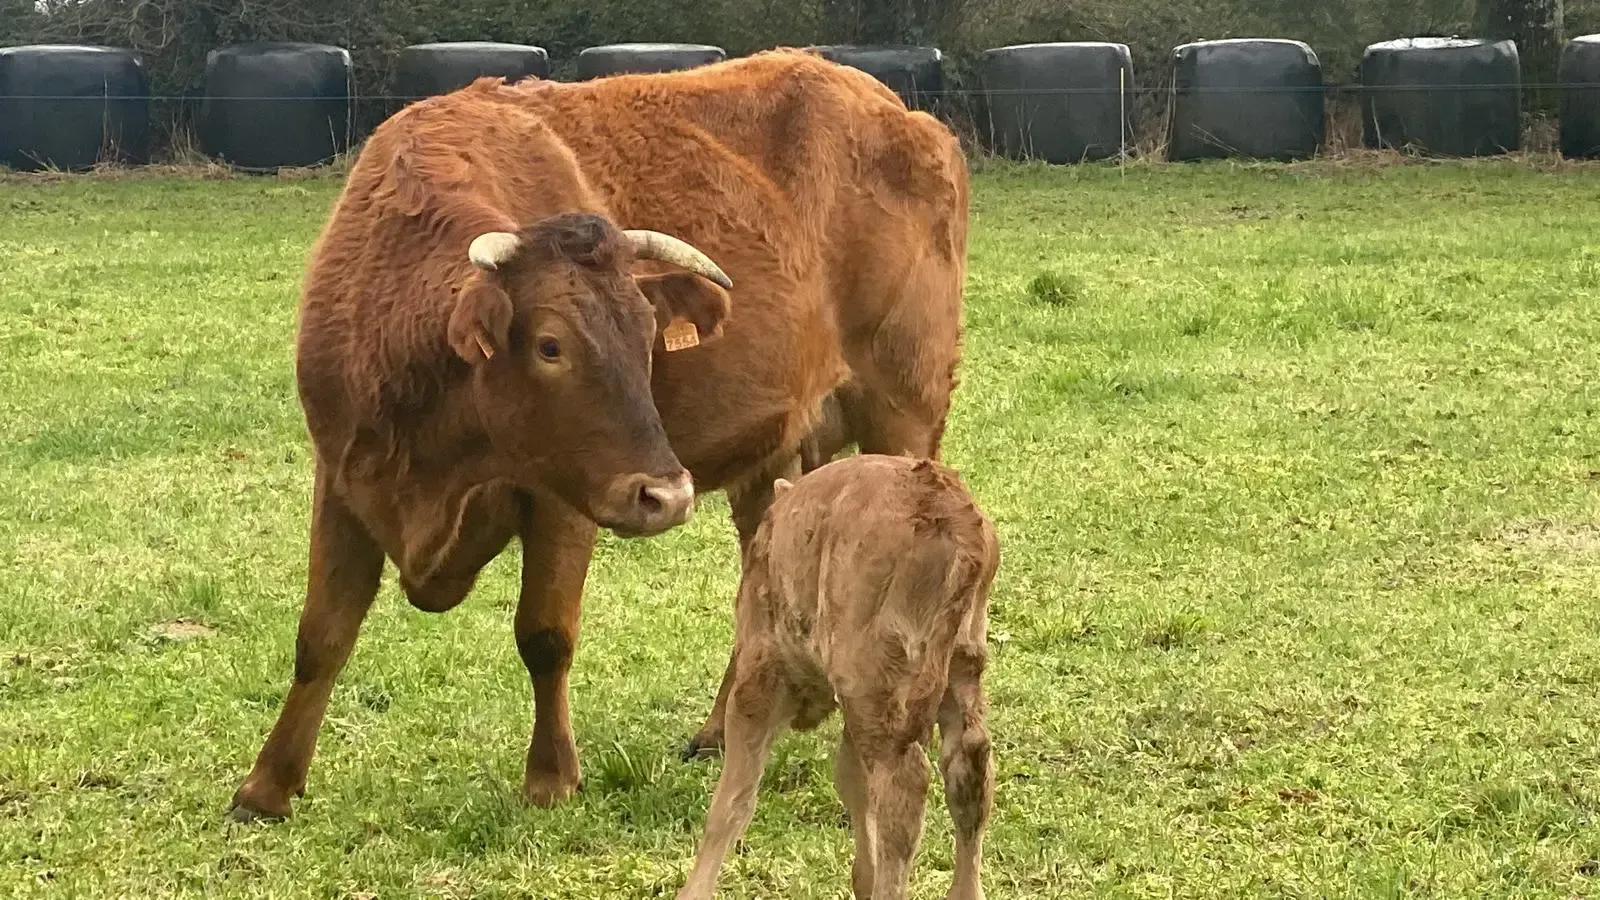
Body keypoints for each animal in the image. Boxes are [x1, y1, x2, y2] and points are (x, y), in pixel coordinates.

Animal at [227, 47, 969, 822]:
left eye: (648, 334)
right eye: (550, 345)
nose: (667, 495)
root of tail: (906, 117)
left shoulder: (563, 497)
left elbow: (544, 634)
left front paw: (550, 776)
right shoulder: (344, 474)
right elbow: (322, 633)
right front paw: (266, 786)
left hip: (902, 418)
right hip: (772, 464)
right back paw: (724, 728)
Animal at [675, 455, 1000, 900]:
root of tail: (950, 513)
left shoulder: (758, 679)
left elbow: (732, 800)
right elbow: (851, 779)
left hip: (880, 689)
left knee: (905, 787)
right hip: (956, 670)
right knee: (968, 767)